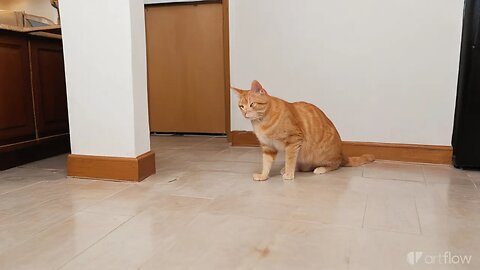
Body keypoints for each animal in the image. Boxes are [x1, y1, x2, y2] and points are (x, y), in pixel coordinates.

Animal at [232, 80, 376, 181]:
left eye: (252, 104)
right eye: (241, 106)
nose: (245, 113)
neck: (261, 122)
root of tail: (341, 153)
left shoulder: (294, 139)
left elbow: (290, 159)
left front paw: (289, 174)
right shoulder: (268, 147)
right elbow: (266, 163)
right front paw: (263, 175)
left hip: (322, 154)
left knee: (335, 165)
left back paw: (320, 169)